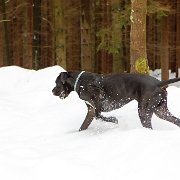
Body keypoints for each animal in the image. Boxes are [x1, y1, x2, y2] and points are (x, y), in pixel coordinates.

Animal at [52, 71, 180, 131]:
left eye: (56, 83)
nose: (52, 91)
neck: (80, 81)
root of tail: (158, 83)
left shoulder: (98, 100)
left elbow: (100, 116)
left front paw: (114, 120)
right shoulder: (90, 110)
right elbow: (83, 125)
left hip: (144, 111)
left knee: (148, 126)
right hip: (161, 111)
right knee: (176, 120)